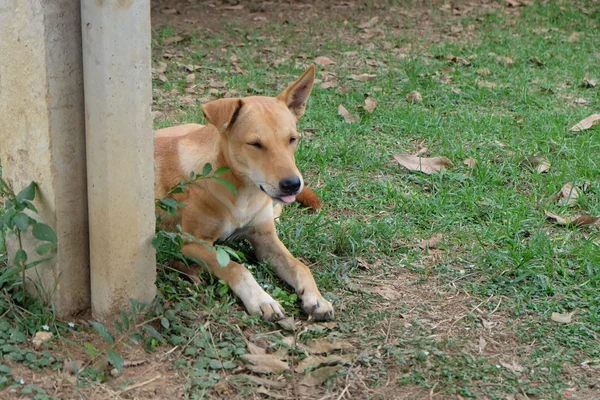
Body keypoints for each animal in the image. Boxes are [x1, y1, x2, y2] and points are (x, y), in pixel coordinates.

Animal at [154, 65, 333, 321]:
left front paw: (315, 298)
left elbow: (300, 266)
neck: (243, 193)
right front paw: (261, 299)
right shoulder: (192, 244)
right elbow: (235, 267)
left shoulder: (265, 238)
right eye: (255, 144)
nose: (292, 184)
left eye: (292, 139)